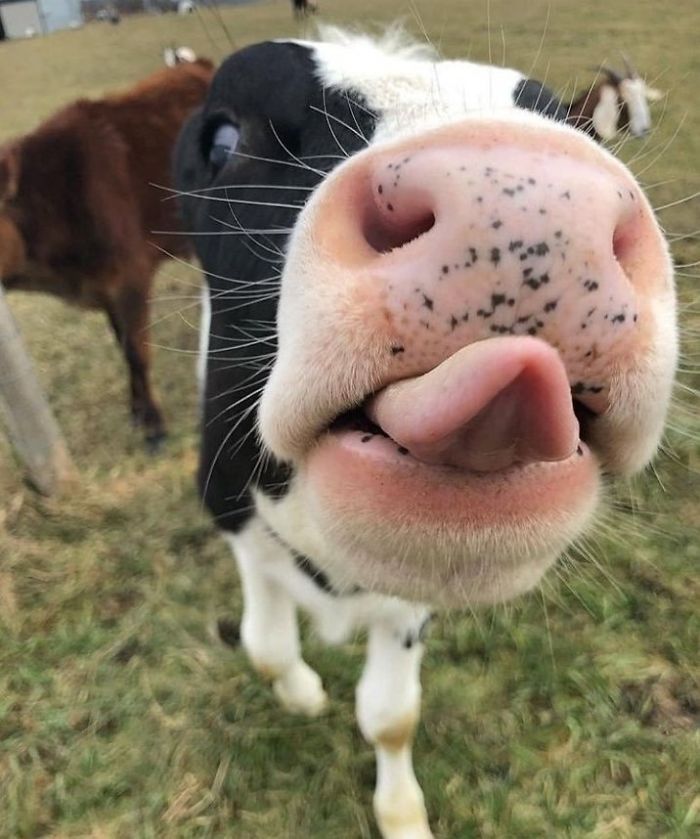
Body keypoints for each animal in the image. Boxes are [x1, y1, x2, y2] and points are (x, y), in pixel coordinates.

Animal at [0, 56, 215, 448]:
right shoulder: (106, 289)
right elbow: (123, 345)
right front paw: (137, 412)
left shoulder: (130, 278)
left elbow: (136, 352)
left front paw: (154, 426)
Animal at [174, 29, 677, 839]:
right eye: (222, 140)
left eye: (584, 130)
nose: (525, 193)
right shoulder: (232, 514)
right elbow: (266, 646)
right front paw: (303, 694)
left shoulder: (412, 601)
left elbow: (391, 714)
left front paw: (402, 811)